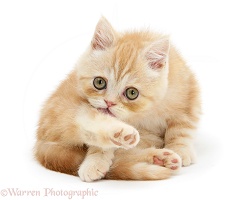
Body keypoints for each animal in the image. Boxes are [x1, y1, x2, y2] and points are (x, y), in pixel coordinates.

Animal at [34, 17, 201, 181]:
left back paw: (160, 158)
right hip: (65, 114)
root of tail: (40, 142)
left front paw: (180, 150)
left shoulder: (187, 95)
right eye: (99, 82)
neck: (143, 113)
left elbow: (181, 129)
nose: (109, 102)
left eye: (132, 93)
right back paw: (122, 135)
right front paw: (96, 161)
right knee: (87, 124)